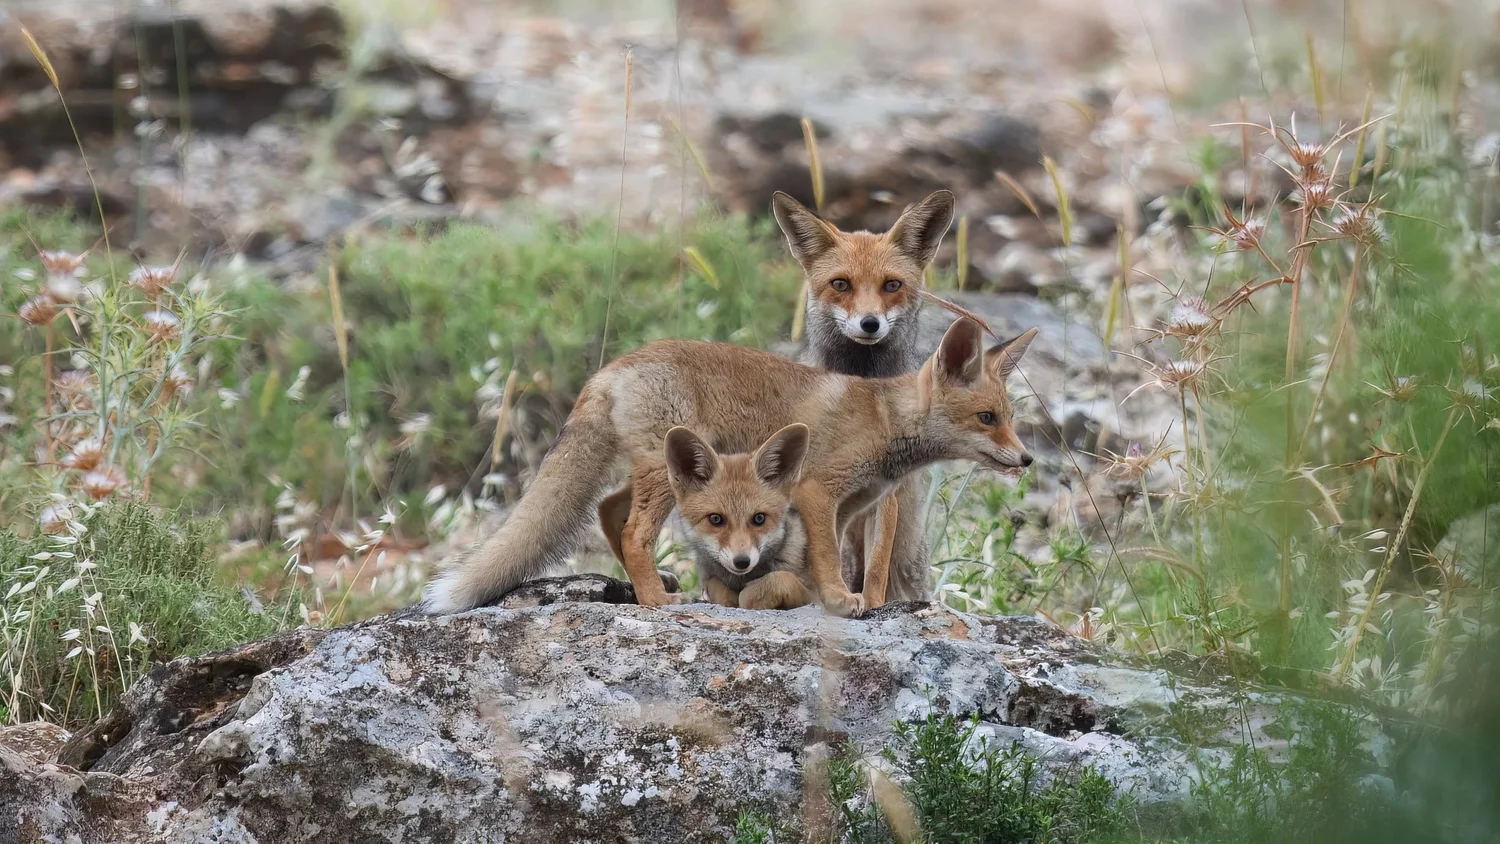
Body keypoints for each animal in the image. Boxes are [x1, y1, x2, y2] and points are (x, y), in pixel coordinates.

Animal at [423, 316, 1037, 617]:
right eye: (987, 418)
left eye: (1009, 419)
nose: (1028, 459)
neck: (885, 422)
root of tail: (610, 368)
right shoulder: (817, 491)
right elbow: (830, 561)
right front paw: (842, 603)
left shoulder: (853, 505)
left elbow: (835, 560)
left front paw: (826, 596)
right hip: (668, 473)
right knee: (634, 528)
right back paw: (655, 601)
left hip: (665, 471)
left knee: (608, 509)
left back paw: (649, 585)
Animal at [772, 189, 956, 604]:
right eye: (841, 284)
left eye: (892, 285)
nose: (869, 323)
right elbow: (828, 552)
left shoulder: (886, 488)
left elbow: (875, 565)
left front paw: (868, 605)